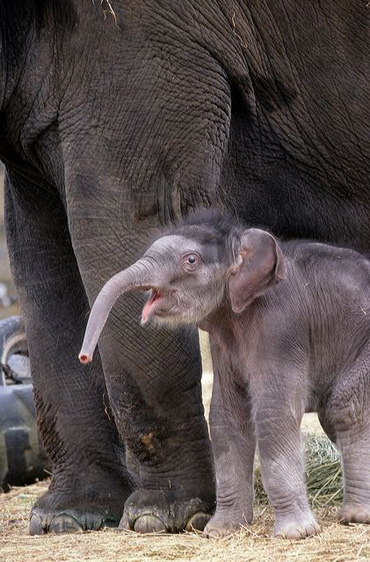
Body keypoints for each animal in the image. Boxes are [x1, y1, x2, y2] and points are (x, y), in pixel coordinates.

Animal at [79, 210, 370, 540]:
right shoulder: (223, 341)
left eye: (191, 260)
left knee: (345, 408)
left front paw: (295, 534)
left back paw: (356, 516)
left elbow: (273, 413)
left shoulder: (281, 326)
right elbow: (226, 417)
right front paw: (219, 531)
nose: (84, 356)